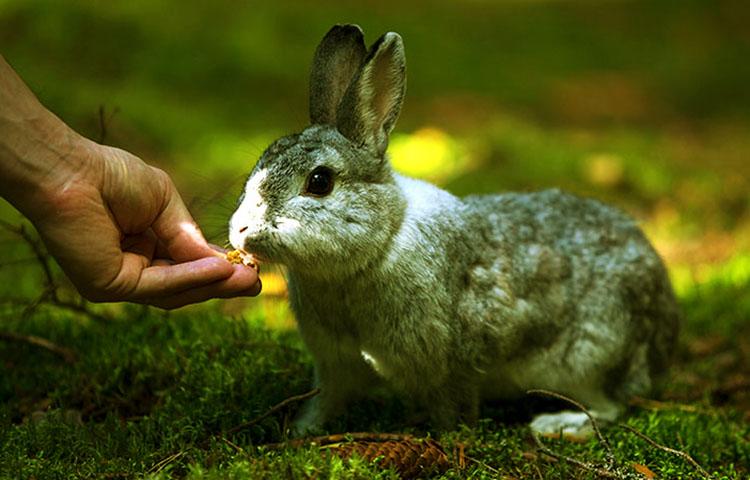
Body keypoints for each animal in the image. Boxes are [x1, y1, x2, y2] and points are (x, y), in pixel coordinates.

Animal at [229, 23, 680, 436]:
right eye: (262, 163)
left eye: (319, 182)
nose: (241, 230)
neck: (382, 242)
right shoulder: (335, 363)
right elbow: (327, 399)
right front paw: (302, 430)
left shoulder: (449, 366)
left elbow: (455, 408)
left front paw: (449, 438)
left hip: (588, 358)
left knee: (610, 406)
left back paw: (559, 424)